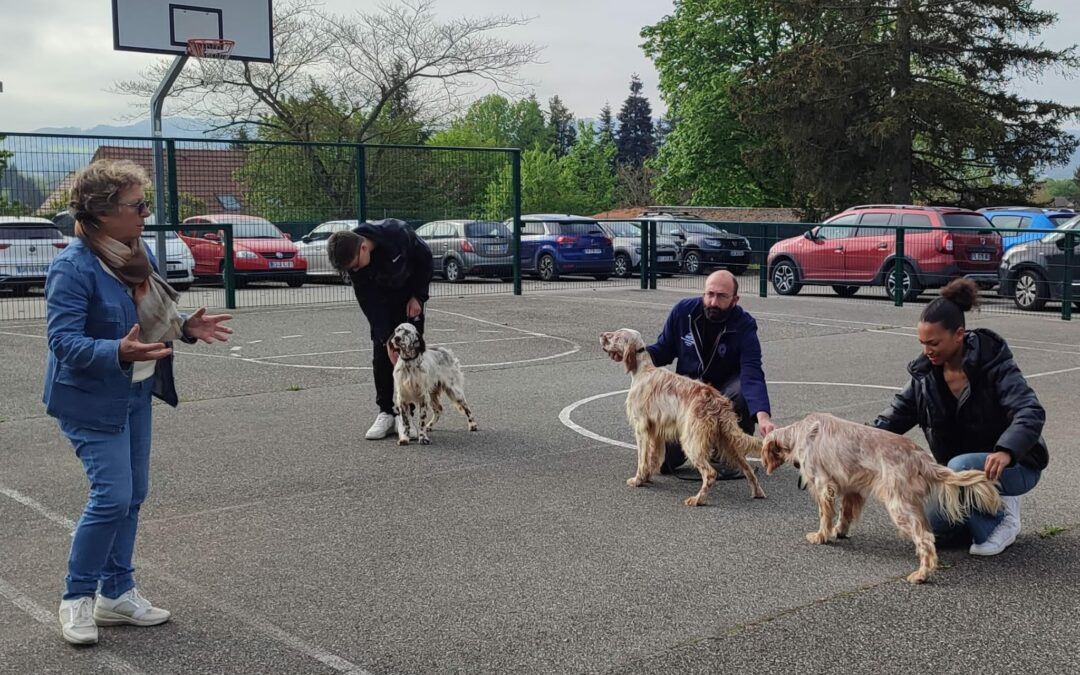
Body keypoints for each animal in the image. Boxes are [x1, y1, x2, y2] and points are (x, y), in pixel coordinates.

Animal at [596, 326, 764, 505]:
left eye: (616, 335)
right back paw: (757, 492)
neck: (643, 369)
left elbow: (642, 459)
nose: (601, 334)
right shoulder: (655, 432)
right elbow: (653, 458)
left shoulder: (641, 428)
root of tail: (716, 401)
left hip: (691, 442)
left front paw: (637, 480)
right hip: (727, 442)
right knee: (748, 468)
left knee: (710, 473)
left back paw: (697, 500)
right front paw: (646, 478)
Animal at [764, 412, 997, 583]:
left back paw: (922, 574)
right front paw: (839, 531)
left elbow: (825, 516)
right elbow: (844, 514)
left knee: (925, 539)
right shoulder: (852, 487)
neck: (800, 433)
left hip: (899, 506)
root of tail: (920, 456)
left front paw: (821, 536)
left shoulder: (823, 485)